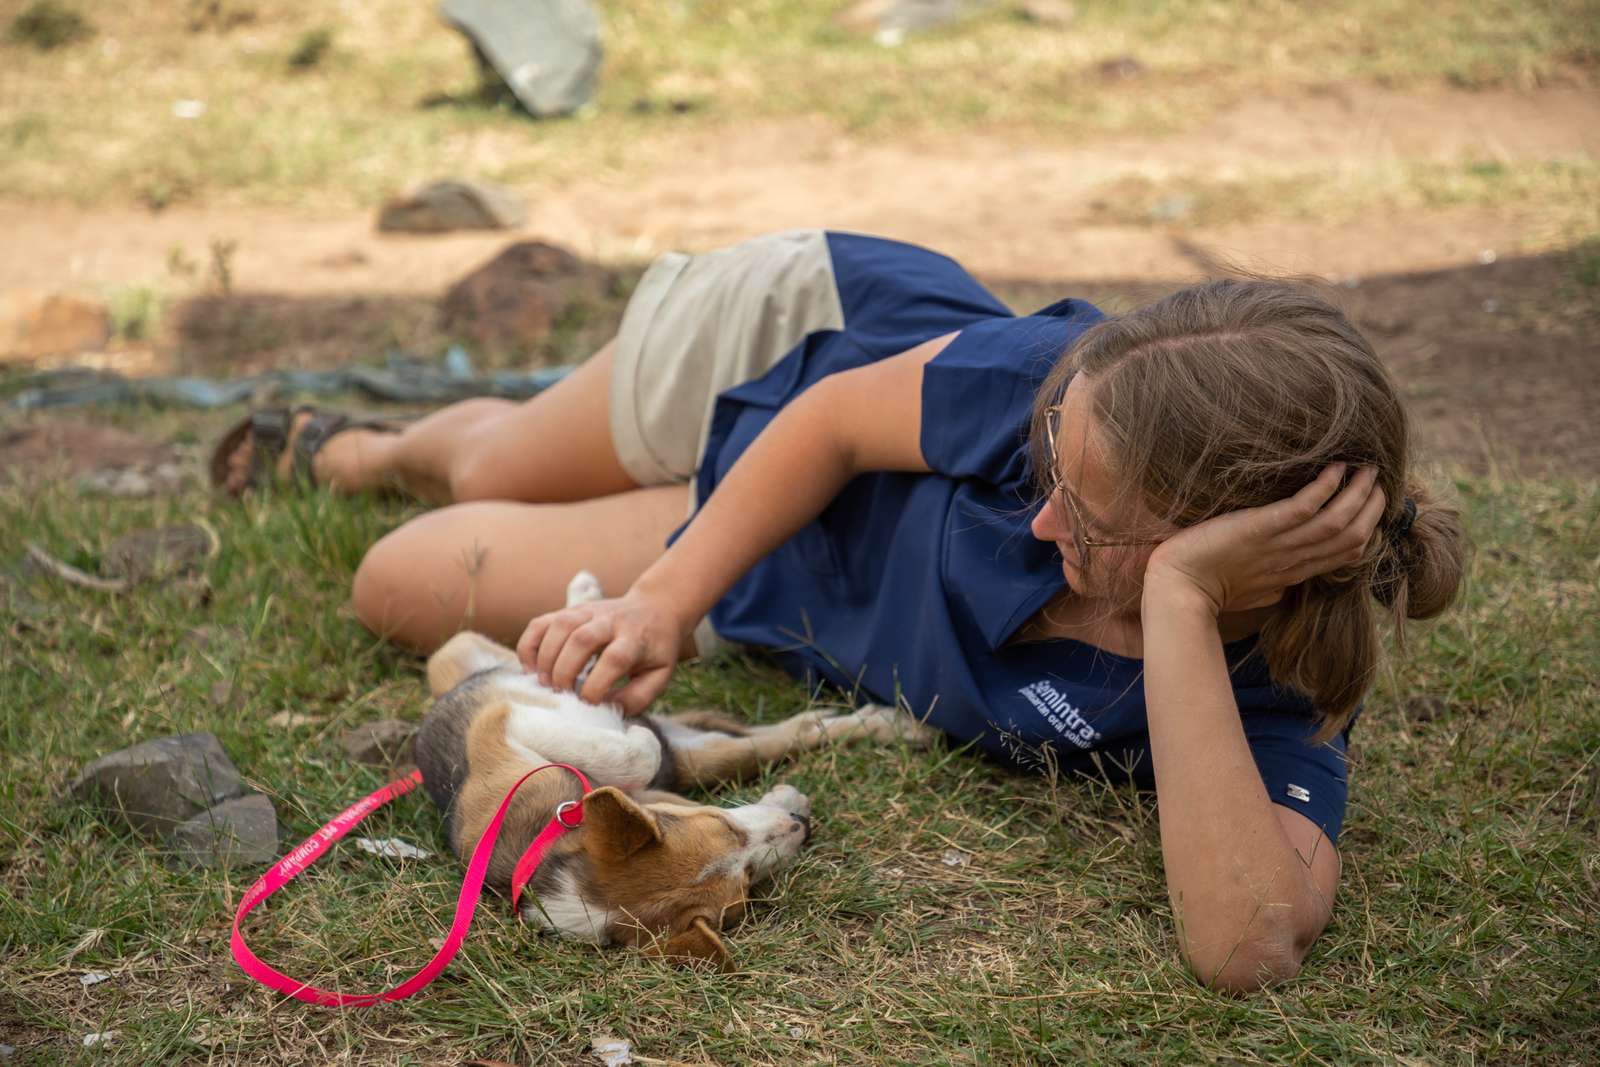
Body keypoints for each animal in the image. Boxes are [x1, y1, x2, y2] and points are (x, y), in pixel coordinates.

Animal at [412, 575, 934, 966]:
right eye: (745, 886)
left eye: (720, 822)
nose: (801, 828)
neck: (550, 838)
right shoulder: (501, 729)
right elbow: (641, 754)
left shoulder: (498, 726)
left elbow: (627, 750)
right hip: (700, 755)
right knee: (791, 733)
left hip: (459, 653)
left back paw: (586, 613)